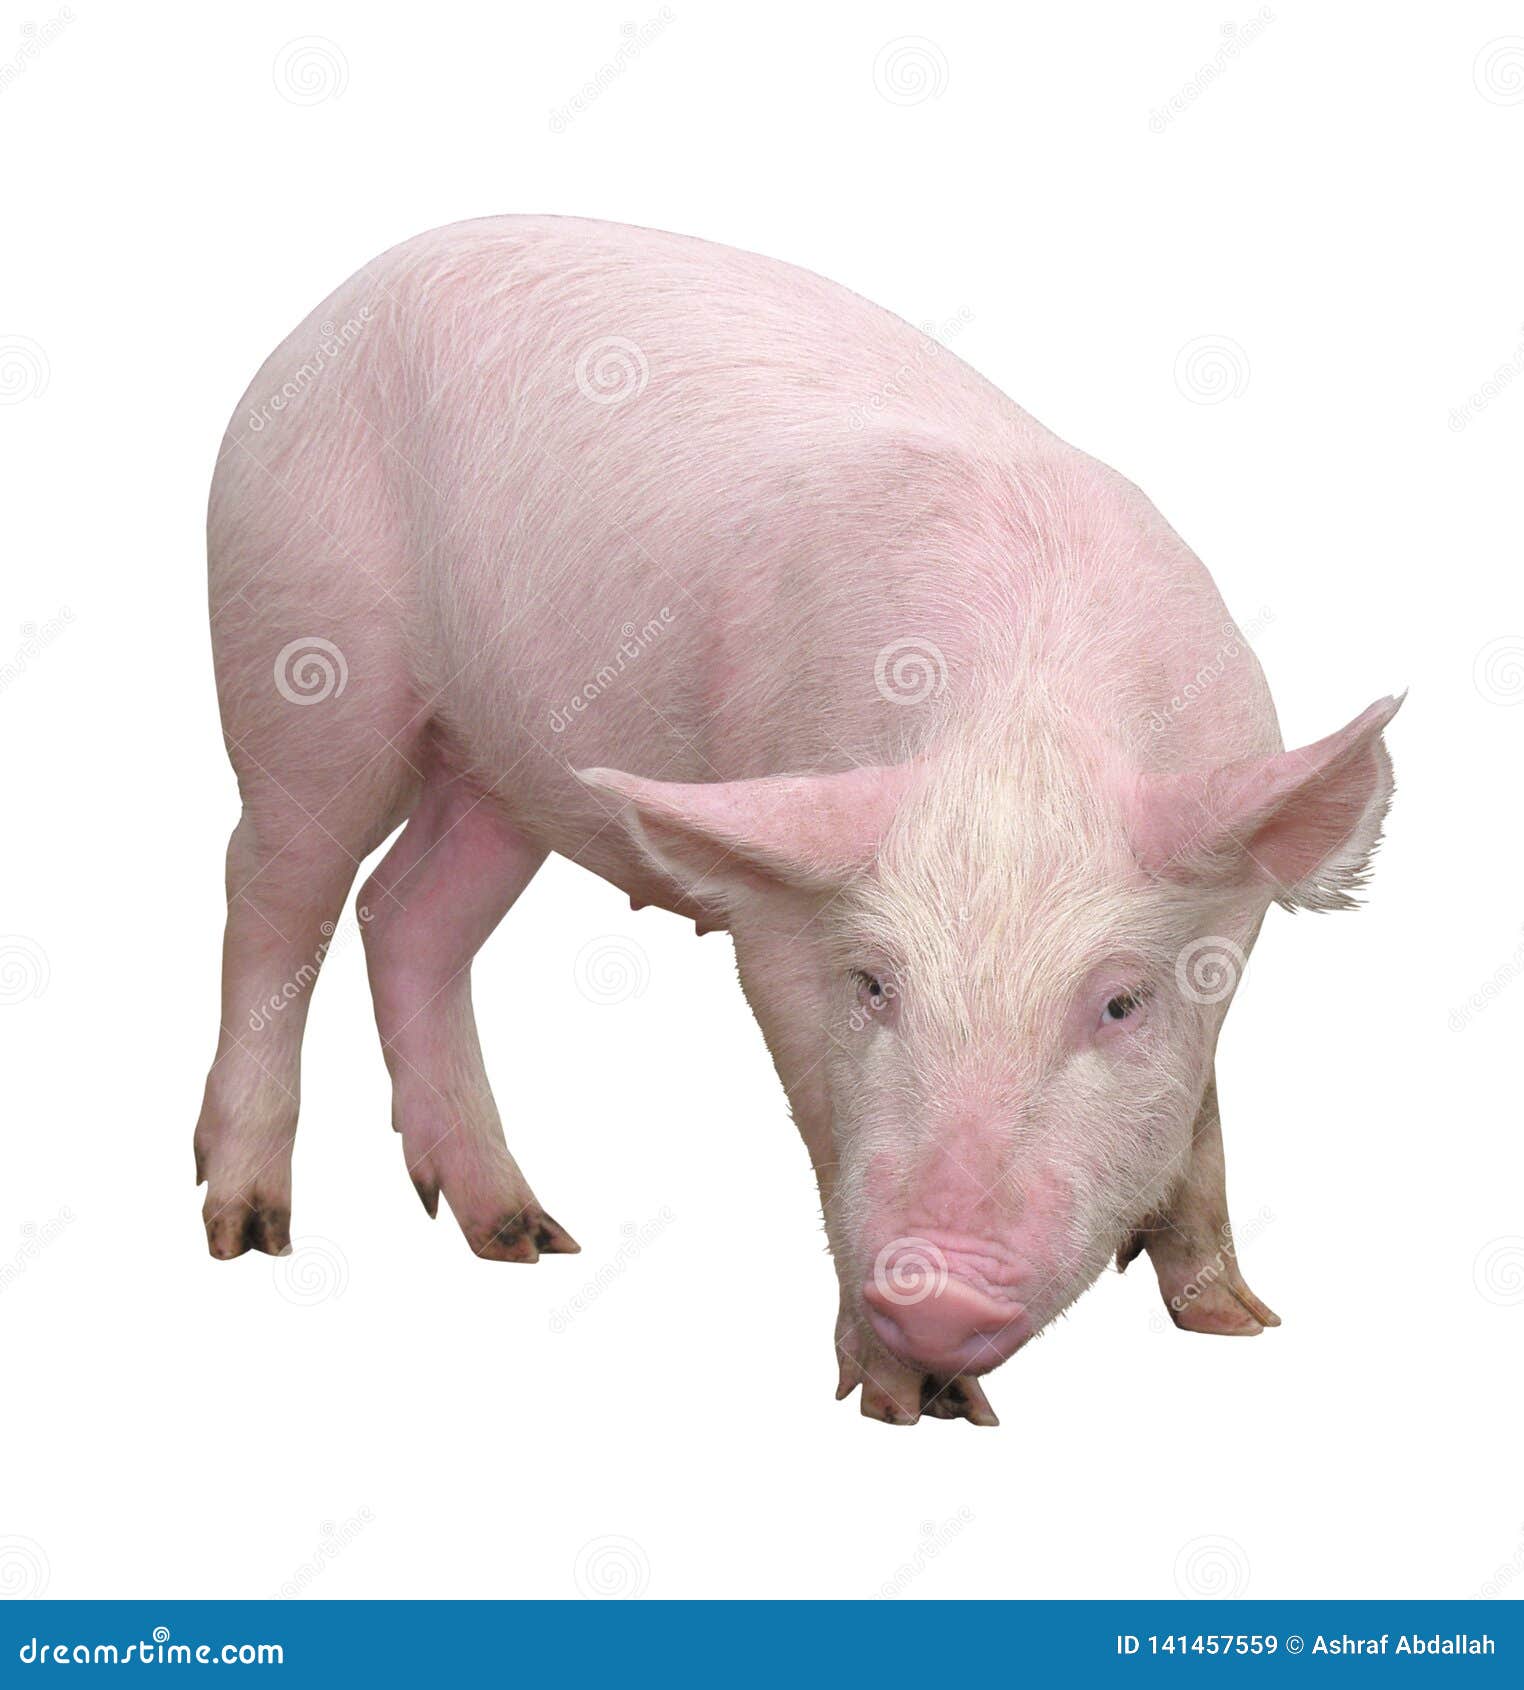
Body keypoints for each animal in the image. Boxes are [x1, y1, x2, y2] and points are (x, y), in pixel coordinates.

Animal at [196, 215, 1400, 1425]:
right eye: (871, 985)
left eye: (1120, 1003)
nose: (939, 1290)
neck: (1021, 729)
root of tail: (337, 303)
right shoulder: (777, 918)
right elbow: (822, 1114)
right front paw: (917, 1406)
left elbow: (1203, 1113)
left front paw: (1239, 1321)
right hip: (300, 655)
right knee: (272, 890)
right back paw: (247, 1230)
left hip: (499, 765)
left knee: (407, 911)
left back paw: (523, 1236)